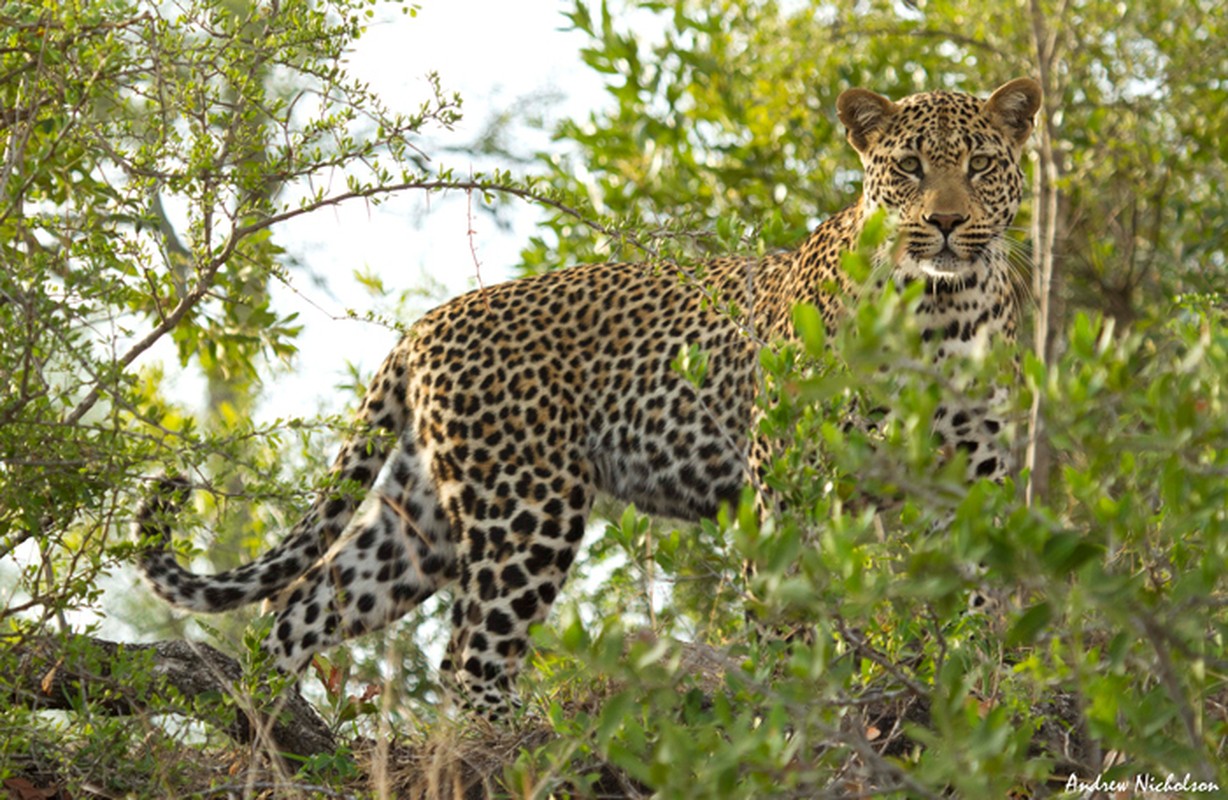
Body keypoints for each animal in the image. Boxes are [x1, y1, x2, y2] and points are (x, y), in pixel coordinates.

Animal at [136, 78, 1036, 722]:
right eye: (910, 167)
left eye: (981, 166)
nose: (946, 222)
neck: (942, 310)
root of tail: (422, 325)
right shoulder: (791, 477)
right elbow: (790, 614)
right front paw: (805, 707)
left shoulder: (976, 475)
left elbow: (986, 599)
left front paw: (986, 688)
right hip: (525, 506)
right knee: (468, 657)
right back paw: (522, 744)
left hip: (422, 519)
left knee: (304, 607)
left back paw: (273, 744)